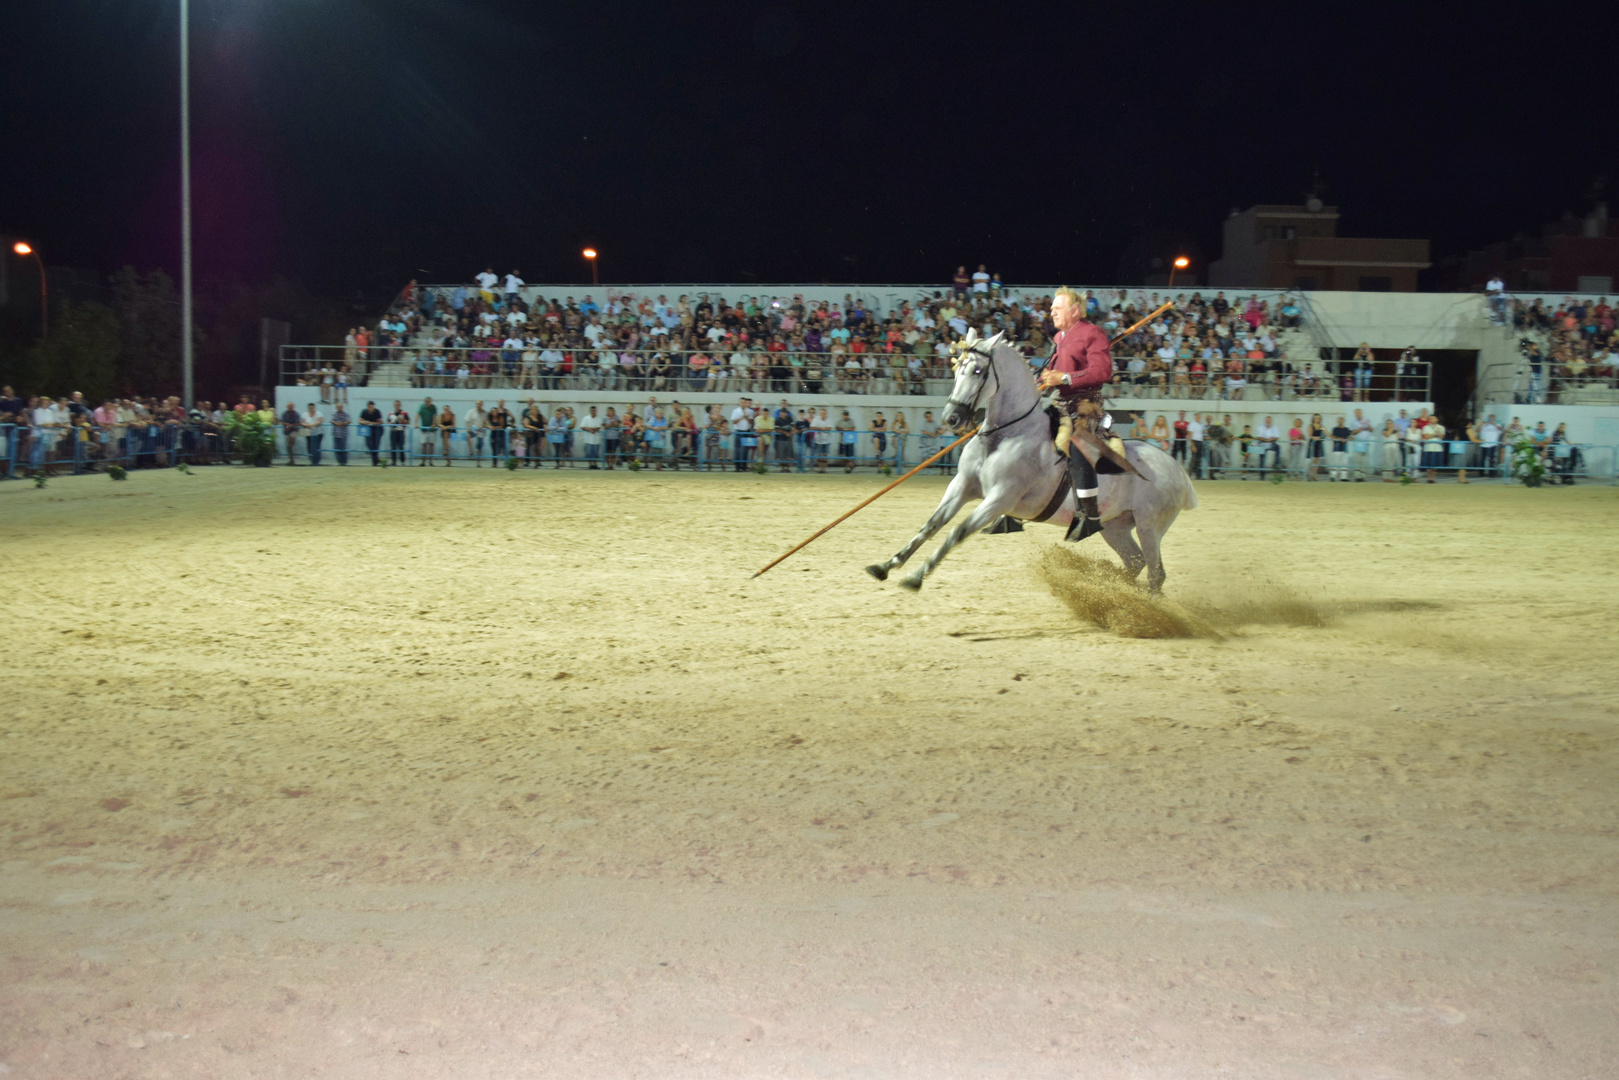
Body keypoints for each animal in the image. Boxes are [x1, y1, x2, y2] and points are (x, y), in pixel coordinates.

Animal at [867, 333, 1198, 595]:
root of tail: (1178, 471)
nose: (951, 417)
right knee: (1135, 562)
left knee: (1155, 574)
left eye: (977, 370)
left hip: (1149, 528)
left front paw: (916, 577)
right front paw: (886, 565)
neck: (1006, 434)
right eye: (957, 370)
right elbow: (932, 524)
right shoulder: (961, 487)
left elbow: (957, 532)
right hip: (1114, 527)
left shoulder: (999, 499)